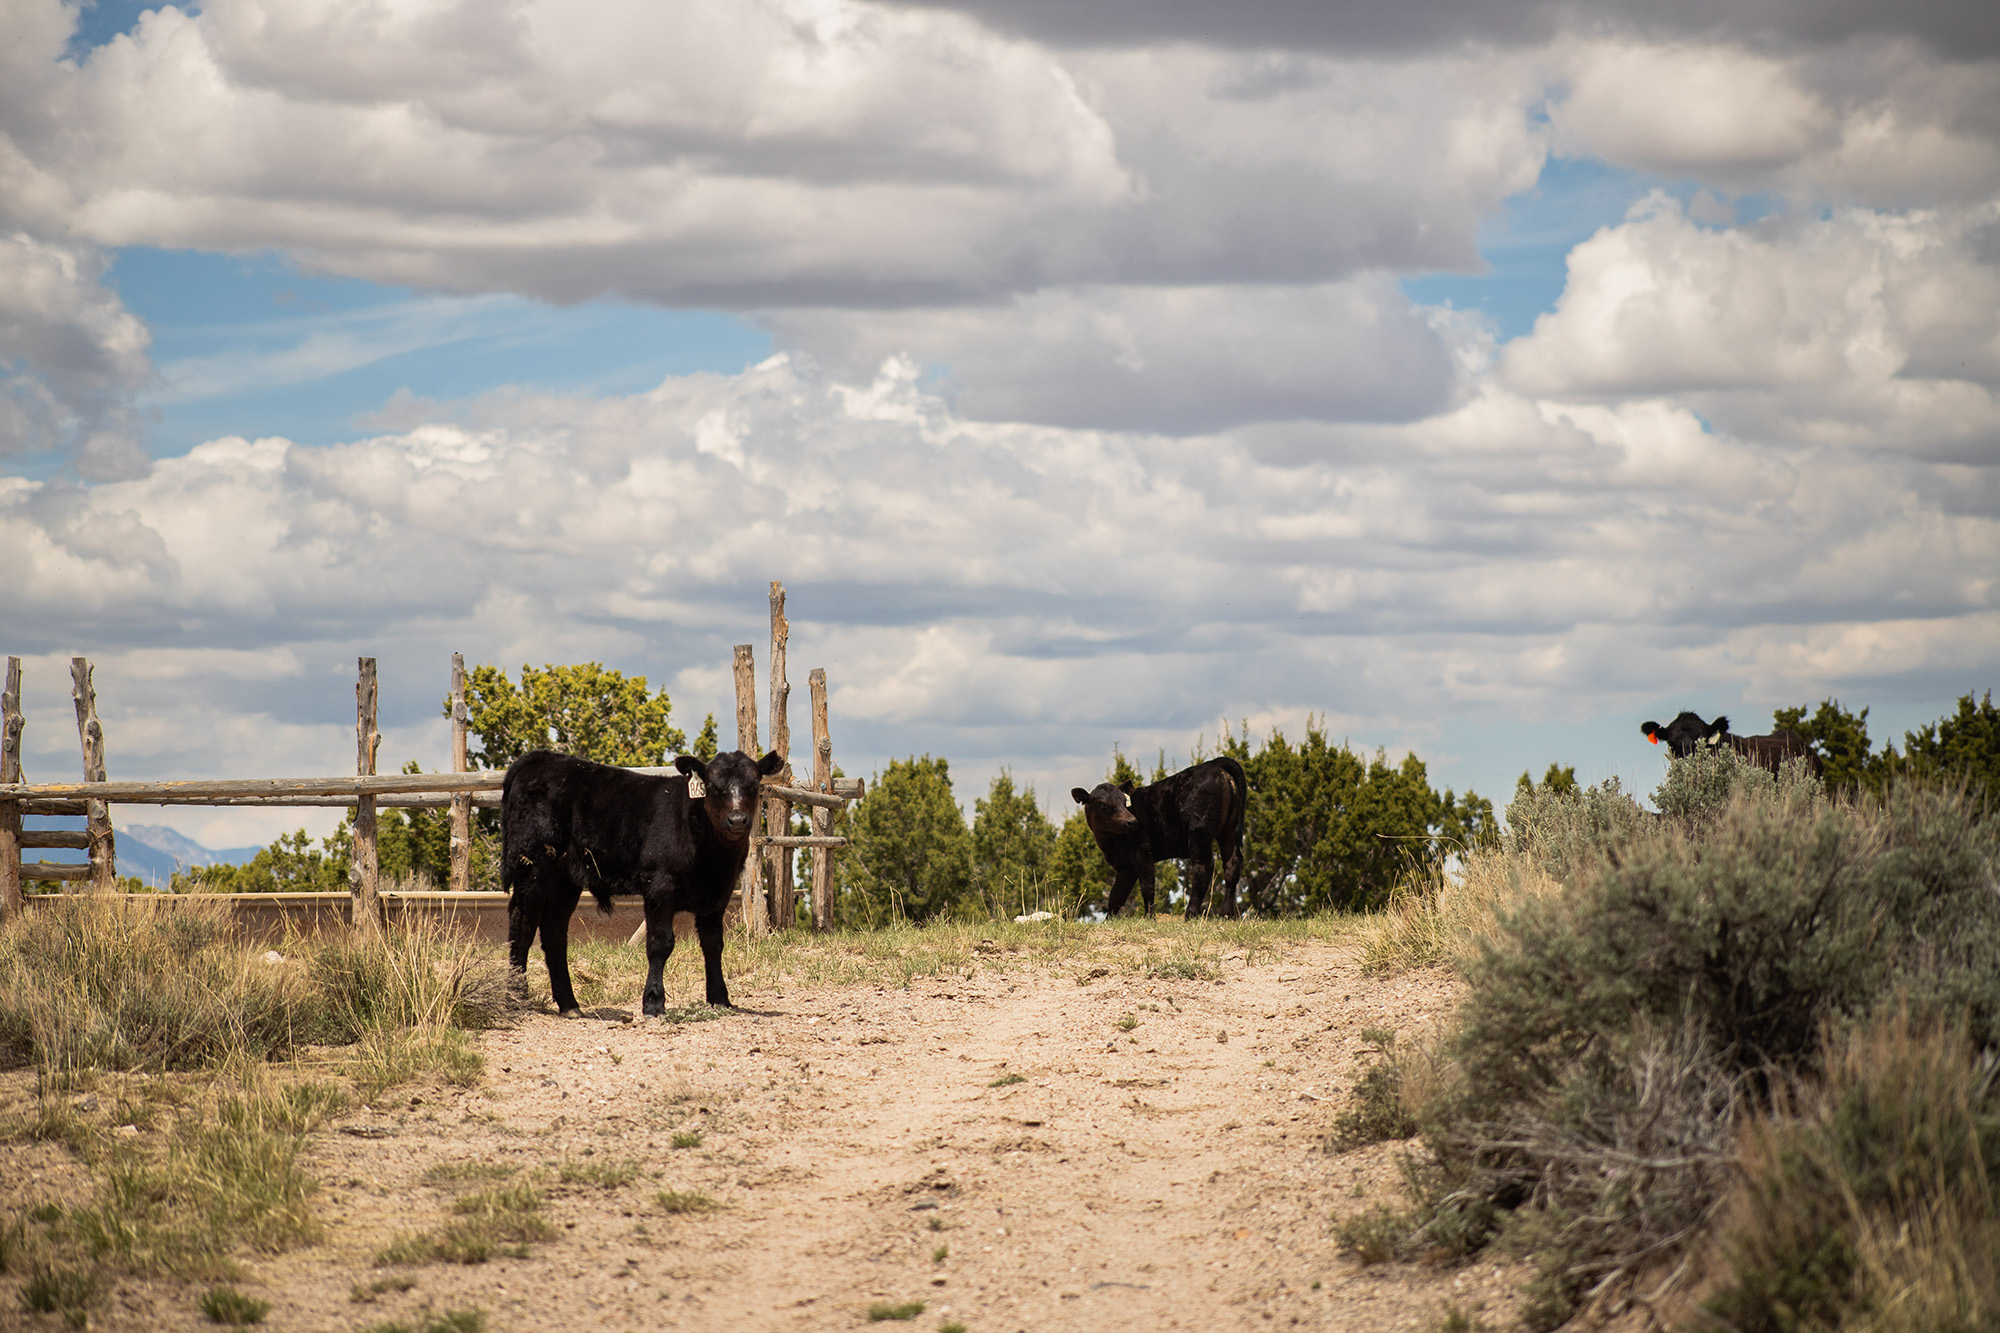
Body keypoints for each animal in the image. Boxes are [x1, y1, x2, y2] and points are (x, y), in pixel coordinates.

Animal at [502, 747, 783, 1018]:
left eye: (754, 784)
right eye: (713, 786)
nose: (737, 819)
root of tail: (541, 758)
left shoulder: (718, 893)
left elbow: (713, 944)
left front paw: (720, 999)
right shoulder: (659, 885)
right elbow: (660, 943)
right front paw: (653, 1002)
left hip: (565, 879)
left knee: (554, 931)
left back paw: (569, 1005)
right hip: (533, 864)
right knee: (522, 924)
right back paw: (517, 999)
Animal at [1071, 757, 1247, 919]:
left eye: (1124, 802)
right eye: (1104, 805)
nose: (1132, 821)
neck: (1109, 843)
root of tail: (1215, 763)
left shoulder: (1142, 852)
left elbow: (1147, 886)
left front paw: (1149, 917)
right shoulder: (1125, 866)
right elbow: (1116, 896)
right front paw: (1109, 920)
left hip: (1199, 833)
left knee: (1203, 866)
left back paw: (1190, 914)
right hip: (1228, 830)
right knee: (1232, 865)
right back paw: (1226, 914)